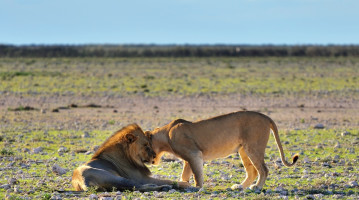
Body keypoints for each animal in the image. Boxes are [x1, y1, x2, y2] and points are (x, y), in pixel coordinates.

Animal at [145, 111, 300, 190]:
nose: (146, 160)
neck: (166, 134)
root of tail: (266, 117)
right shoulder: (188, 158)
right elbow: (185, 174)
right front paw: (184, 183)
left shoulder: (194, 154)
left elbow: (197, 174)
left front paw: (197, 187)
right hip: (243, 150)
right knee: (253, 171)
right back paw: (239, 186)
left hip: (253, 147)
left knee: (263, 169)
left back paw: (256, 187)